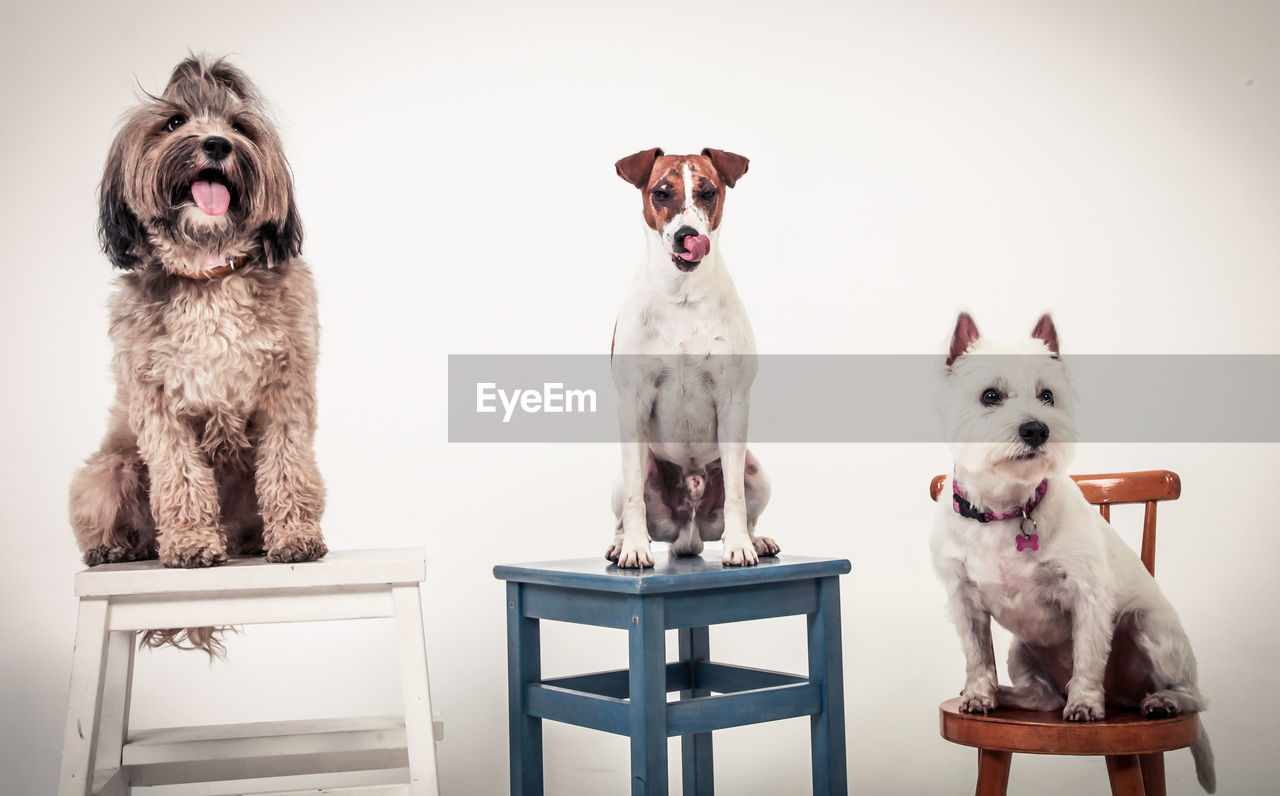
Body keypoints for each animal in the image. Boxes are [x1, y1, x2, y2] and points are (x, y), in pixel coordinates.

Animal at [68, 54, 330, 581]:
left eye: (239, 127)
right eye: (174, 123)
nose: (216, 143)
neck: (208, 271)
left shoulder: (285, 393)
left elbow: (287, 468)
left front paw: (295, 537)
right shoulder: (159, 407)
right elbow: (180, 477)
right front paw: (190, 543)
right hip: (108, 469)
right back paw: (116, 548)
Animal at [931, 314, 1208, 793]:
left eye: (1047, 395)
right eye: (990, 396)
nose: (1036, 429)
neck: (1006, 508)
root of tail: (1125, 698)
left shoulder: (1088, 594)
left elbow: (1088, 656)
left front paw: (1084, 706)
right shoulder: (963, 600)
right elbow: (977, 655)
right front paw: (981, 693)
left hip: (1148, 626)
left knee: (1193, 695)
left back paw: (1163, 701)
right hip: (1022, 650)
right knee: (1041, 697)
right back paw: (1007, 694)